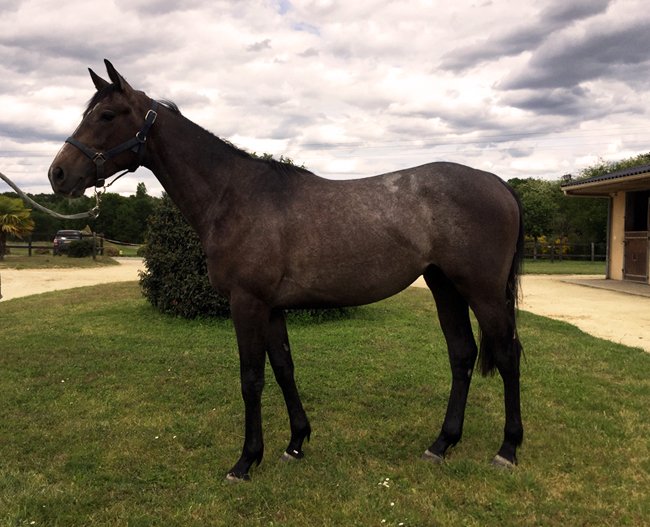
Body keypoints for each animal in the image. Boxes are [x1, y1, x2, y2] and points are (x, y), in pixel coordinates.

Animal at [48, 60, 524, 482]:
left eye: (107, 115)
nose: (58, 174)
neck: (234, 195)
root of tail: (497, 183)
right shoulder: (272, 308)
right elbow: (283, 369)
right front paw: (295, 443)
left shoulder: (247, 303)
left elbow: (252, 379)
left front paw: (245, 462)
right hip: (445, 286)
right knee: (462, 354)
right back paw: (442, 444)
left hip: (482, 291)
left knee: (507, 354)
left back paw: (507, 450)